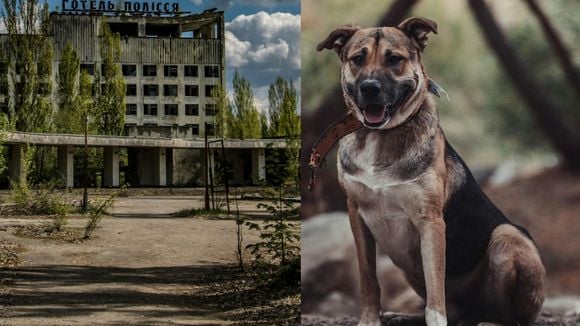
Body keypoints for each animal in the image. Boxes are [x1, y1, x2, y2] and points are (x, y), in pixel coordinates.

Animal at [314, 17, 548, 326]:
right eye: (358, 59)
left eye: (394, 59)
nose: (370, 88)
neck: (381, 135)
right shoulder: (356, 214)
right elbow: (368, 279)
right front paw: (370, 319)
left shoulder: (431, 221)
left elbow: (435, 285)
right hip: (409, 269)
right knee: (458, 311)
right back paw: (405, 316)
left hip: (508, 237)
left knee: (505, 313)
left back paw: (490, 320)